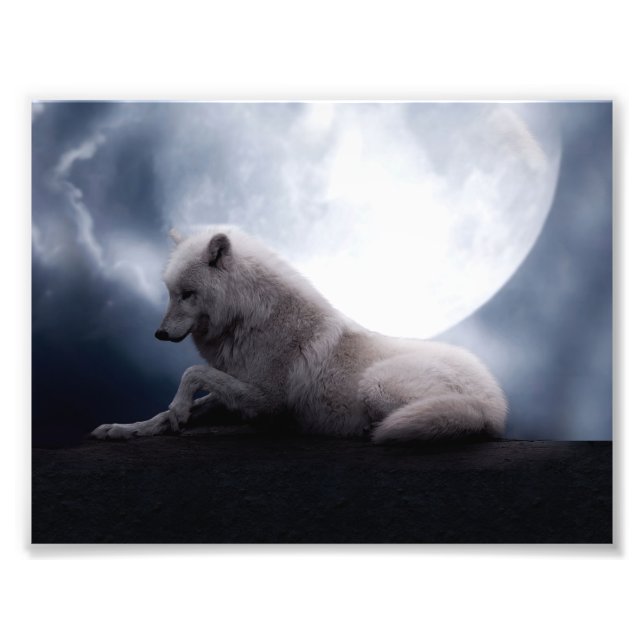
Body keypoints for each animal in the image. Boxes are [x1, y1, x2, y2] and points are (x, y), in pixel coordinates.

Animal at [92, 226, 507, 443]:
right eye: (169, 292)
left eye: (188, 294)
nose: (159, 334)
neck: (250, 318)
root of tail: (495, 402)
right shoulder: (238, 388)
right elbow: (176, 406)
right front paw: (127, 428)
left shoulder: (266, 400)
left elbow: (192, 374)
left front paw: (177, 410)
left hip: (376, 385)